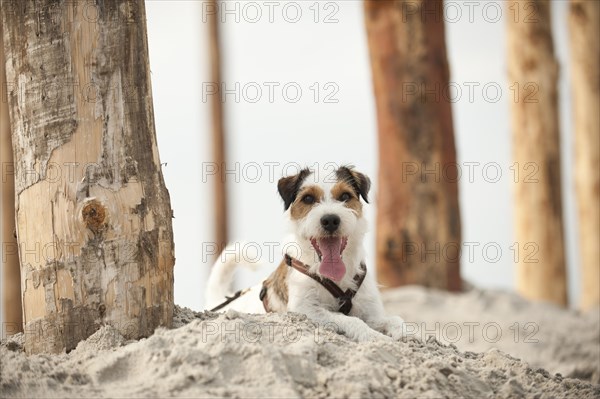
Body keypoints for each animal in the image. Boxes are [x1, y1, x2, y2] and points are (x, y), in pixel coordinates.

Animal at [204, 166, 406, 344]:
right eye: (308, 198)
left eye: (345, 196)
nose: (330, 220)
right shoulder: (306, 310)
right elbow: (350, 319)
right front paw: (374, 336)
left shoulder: (371, 311)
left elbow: (395, 319)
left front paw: (403, 332)